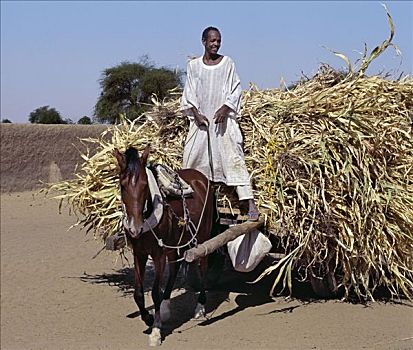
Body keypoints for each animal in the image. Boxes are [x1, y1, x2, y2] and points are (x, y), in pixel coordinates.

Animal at [113, 146, 214, 348]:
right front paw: (150, 318)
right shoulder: (139, 253)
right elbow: (138, 294)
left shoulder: (158, 253)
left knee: (203, 266)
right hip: (174, 243)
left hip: (201, 237)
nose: (135, 228)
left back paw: (200, 307)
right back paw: (166, 307)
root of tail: (201, 177)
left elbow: (154, 293)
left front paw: (156, 331)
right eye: (122, 185)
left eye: (145, 185)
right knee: (175, 267)